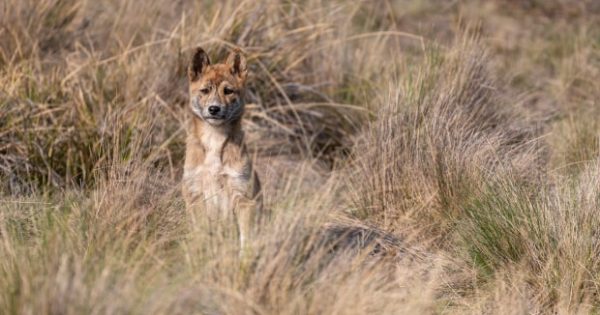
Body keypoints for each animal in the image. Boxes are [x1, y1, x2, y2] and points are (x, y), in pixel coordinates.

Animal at [183, 47, 262, 249]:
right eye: (205, 90)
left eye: (228, 91)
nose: (214, 109)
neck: (214, 139)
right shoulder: (195, 194)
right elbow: (202, 235)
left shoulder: (243, 196)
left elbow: (245, 240)